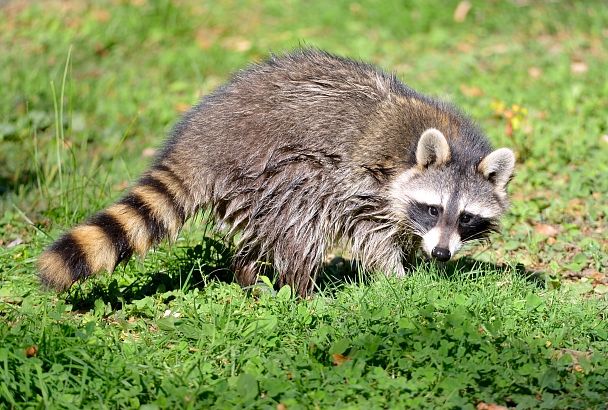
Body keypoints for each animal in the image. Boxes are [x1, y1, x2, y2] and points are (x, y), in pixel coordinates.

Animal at [38, 49, 512, 296]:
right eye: (433, 208)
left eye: (466, 217)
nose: (442, 255)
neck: (455, 147)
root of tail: (201, 139)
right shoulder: (367, 181)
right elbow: (370, 233)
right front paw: (397, 278)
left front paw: (420, 260)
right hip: (275, 167)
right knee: (304, 214)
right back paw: (301, 289)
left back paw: (250, 274)